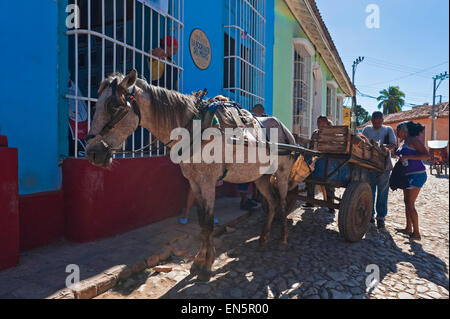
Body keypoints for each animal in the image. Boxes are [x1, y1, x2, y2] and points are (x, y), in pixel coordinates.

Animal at [85, 70, 312, 282]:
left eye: (114, 106)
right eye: (96, 105)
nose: (92, 153)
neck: (194, 128)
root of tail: (288, 132)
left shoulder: (208, 182)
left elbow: (209, 223)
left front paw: (206, 267)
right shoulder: (194, 182)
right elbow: (202, 222)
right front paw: (198, 262)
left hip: (281, 174)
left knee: (282, 203)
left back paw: (282, 240)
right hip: (261, 177)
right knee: (272, 203)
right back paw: (263, 239)